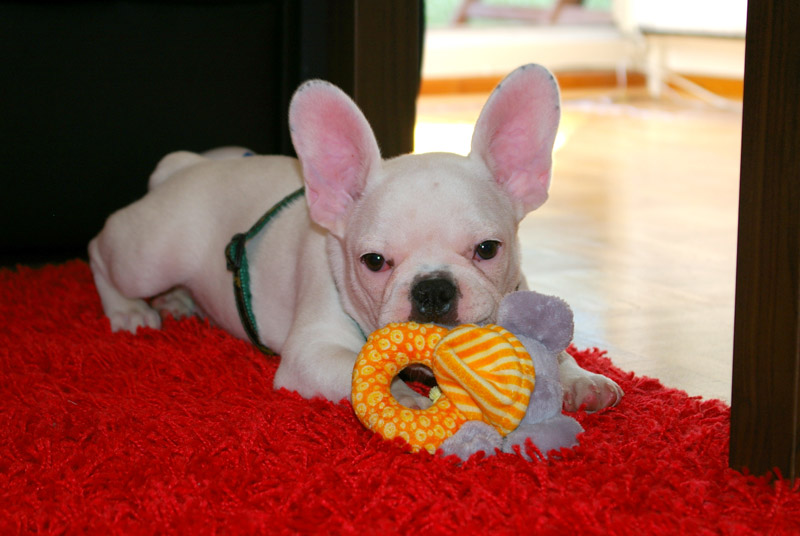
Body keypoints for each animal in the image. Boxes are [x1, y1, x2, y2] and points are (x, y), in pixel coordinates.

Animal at [89, 64, 622, 412]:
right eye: (373, 261)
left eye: (488, 250)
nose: (433, 289)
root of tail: (188, 166)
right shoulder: (312, 355)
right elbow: (351, 370)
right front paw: (401, 397)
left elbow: (554, 348)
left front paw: (580, 378)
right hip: (149, 255)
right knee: (100, 254)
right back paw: (130, 311)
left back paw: (178, 302)